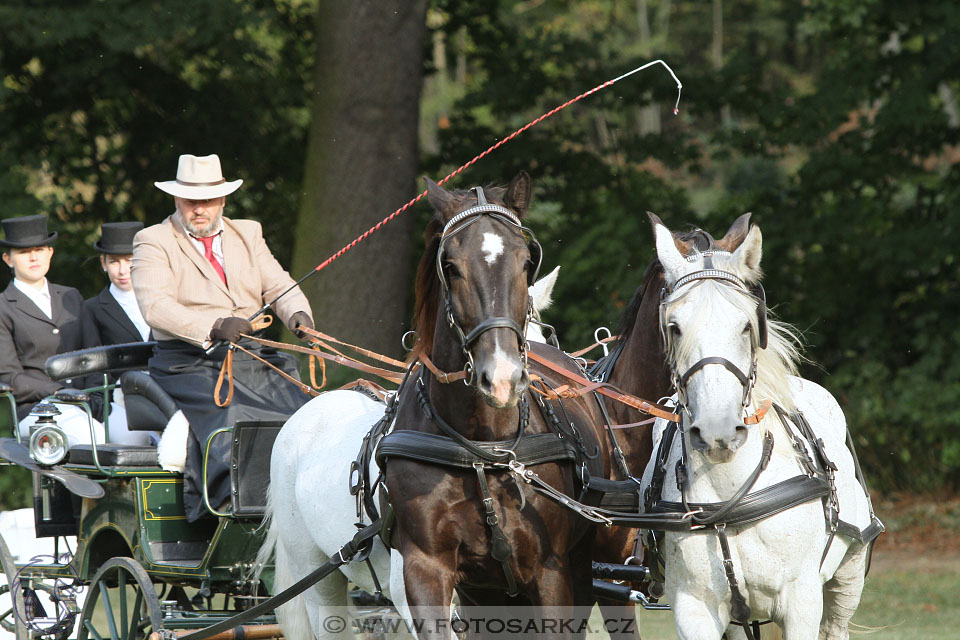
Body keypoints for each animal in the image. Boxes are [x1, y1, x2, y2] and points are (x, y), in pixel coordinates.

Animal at [380, 170, 612, 632]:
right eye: (450, 267)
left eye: (526, 262)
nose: (502, 379)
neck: (481, 446)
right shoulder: (425, 569)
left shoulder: (552, 573)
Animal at [640, 215, 880, 640]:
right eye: (675, 327)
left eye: (746, 325)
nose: (717, 431)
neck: (729, 498)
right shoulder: (694, 607)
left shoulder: (802, 603)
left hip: (847, 578)